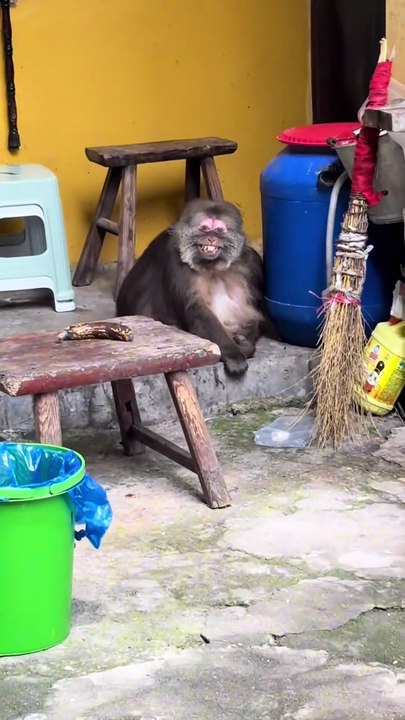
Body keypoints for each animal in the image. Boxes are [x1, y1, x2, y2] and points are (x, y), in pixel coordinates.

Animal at [116, 198, 275, 377]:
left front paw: (244, 343)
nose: (211, 238)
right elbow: (197, 311)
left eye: (219, 230)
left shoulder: (252, 263)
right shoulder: (175, 260)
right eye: (205, 228)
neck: (212, 267)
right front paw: (234, 355)